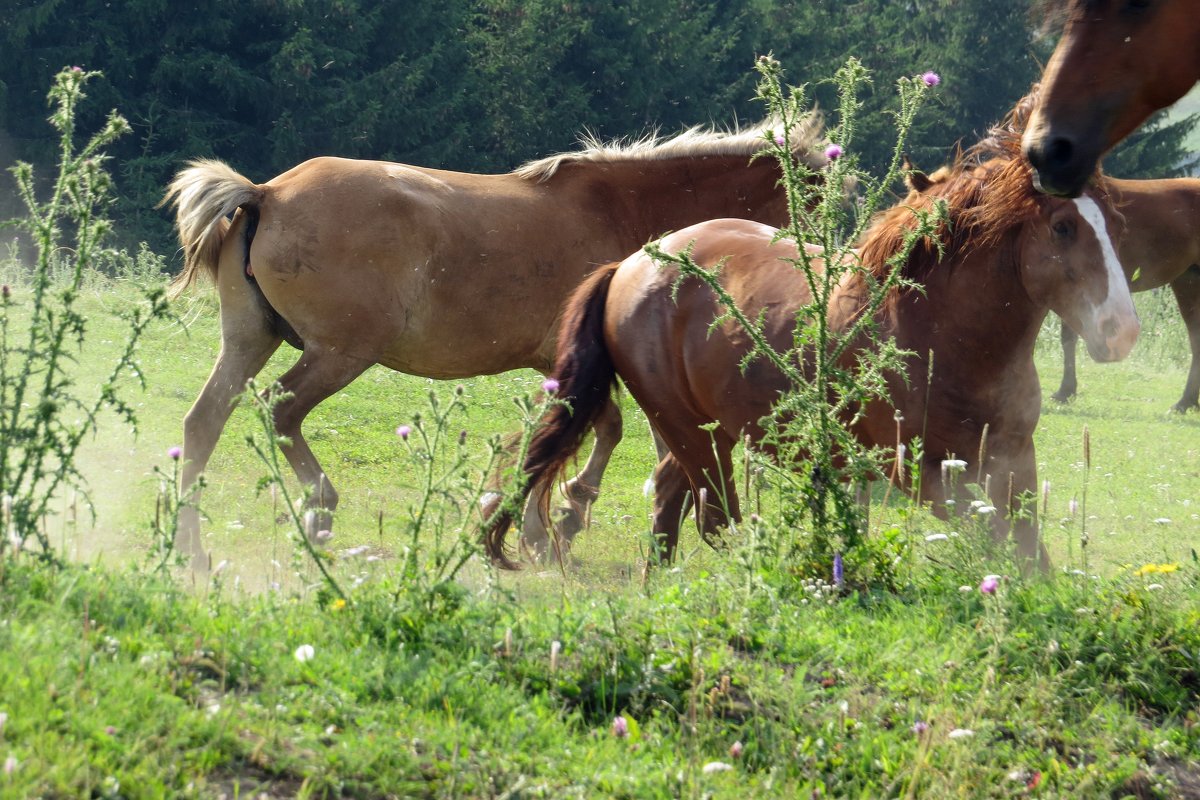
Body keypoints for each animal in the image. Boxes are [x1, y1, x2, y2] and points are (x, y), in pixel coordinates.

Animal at [164, 115, 830, 573]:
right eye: (808, 201)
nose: (812, 284)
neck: (621, 210)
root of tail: (265, 193)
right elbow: (597, 430)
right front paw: (563, 515)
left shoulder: (567, 362)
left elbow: (585, 430)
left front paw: (545, 522)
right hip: (338, 354)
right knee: (279, 411)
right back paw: (319, 510)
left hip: (250, 340)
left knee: (204, 422)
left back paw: (190, 548)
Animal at [482, 128, 1137, 573]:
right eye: (1062, 227)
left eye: (1113, 223)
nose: (1121, 330)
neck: (938, 329)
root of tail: (632, 262)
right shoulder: (920, 469)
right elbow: (1001, 547)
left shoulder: (1012, 459)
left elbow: (1029, 554)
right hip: (690, 432)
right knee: (714, 518)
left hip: (704, 433)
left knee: (670, 509)